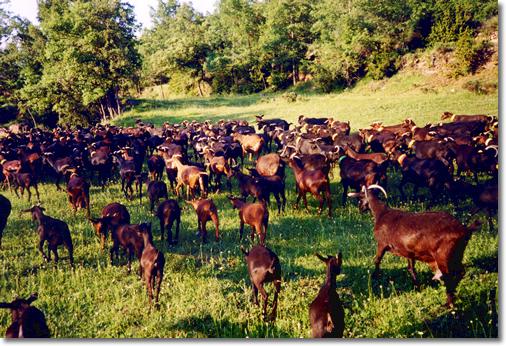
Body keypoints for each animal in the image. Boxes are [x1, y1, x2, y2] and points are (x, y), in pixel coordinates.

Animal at [350, 185, 480, 306]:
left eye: (360, 198)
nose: (360, 209)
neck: (382, 213)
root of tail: (464, 229)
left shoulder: (382, 244)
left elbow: (377, 260)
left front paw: (375, 277)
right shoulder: (408, 252)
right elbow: (411, 268)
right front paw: (417, 287)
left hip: (443, 257)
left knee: (449, 276)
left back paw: (448, 304)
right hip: (457, 256)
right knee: (461, 272)